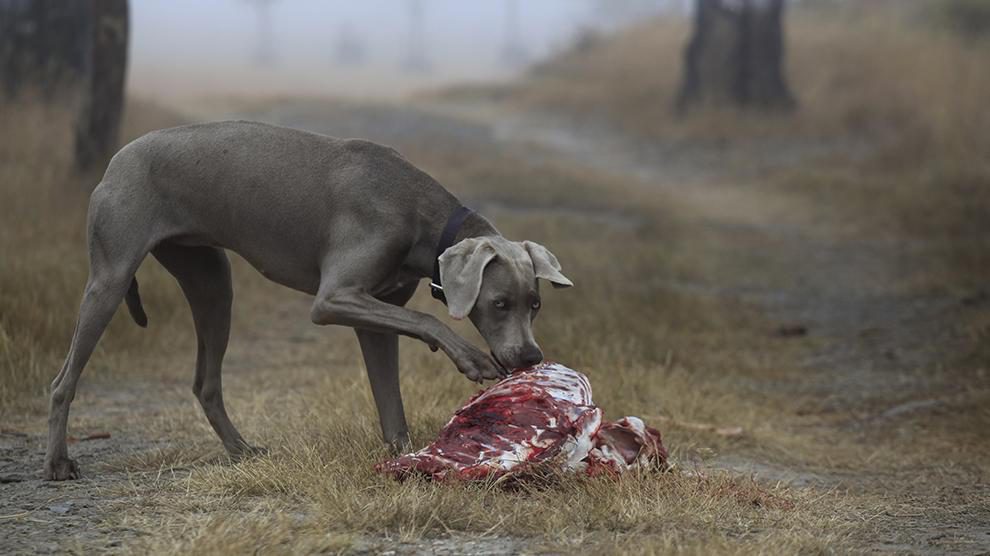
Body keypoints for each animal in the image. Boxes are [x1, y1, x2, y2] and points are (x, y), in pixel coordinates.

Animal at [44, 119, 572, 480]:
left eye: (535, 304)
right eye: (499, 303)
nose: (531, 357)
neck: (421, 213)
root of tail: (118, 157)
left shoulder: (375, 313)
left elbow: (390, 398)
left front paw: (404, 457)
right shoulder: (335, 299)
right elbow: (428, 320)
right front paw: (470, 358)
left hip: (212, 280)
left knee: (206, 381)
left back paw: (241, 450)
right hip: (110, 278)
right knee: (63, 380)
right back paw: (58, 464)